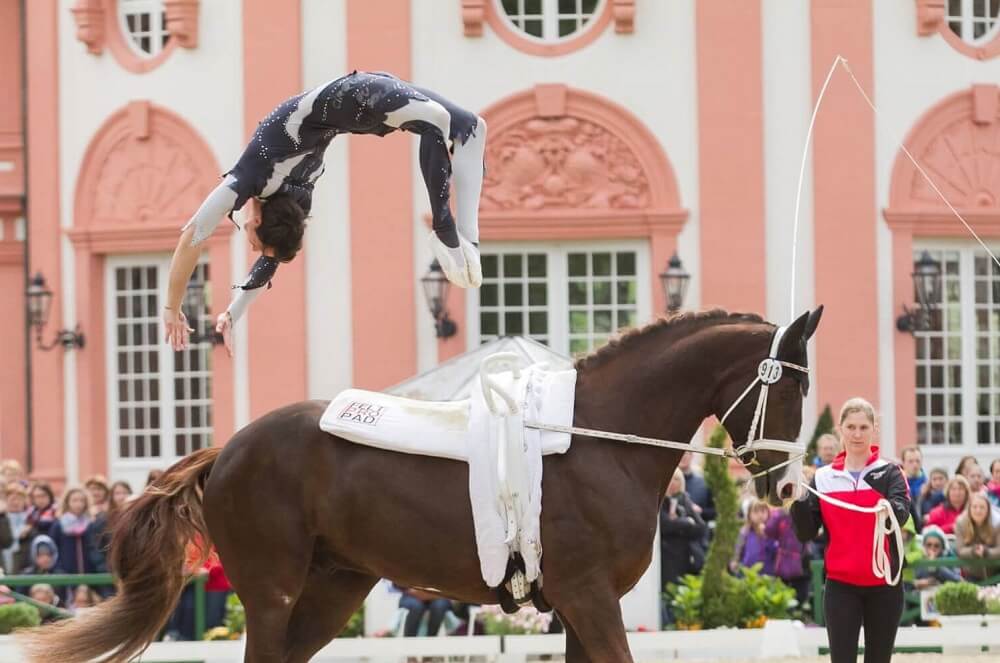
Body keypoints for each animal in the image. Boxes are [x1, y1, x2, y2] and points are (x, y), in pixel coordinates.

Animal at [21, 308, 820, 660]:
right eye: (788, 388)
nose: (788, 491)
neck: (601, 438)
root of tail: (227, 450)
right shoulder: (591, 599)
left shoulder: (574, 608)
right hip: (273, 591)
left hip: (334, 587)